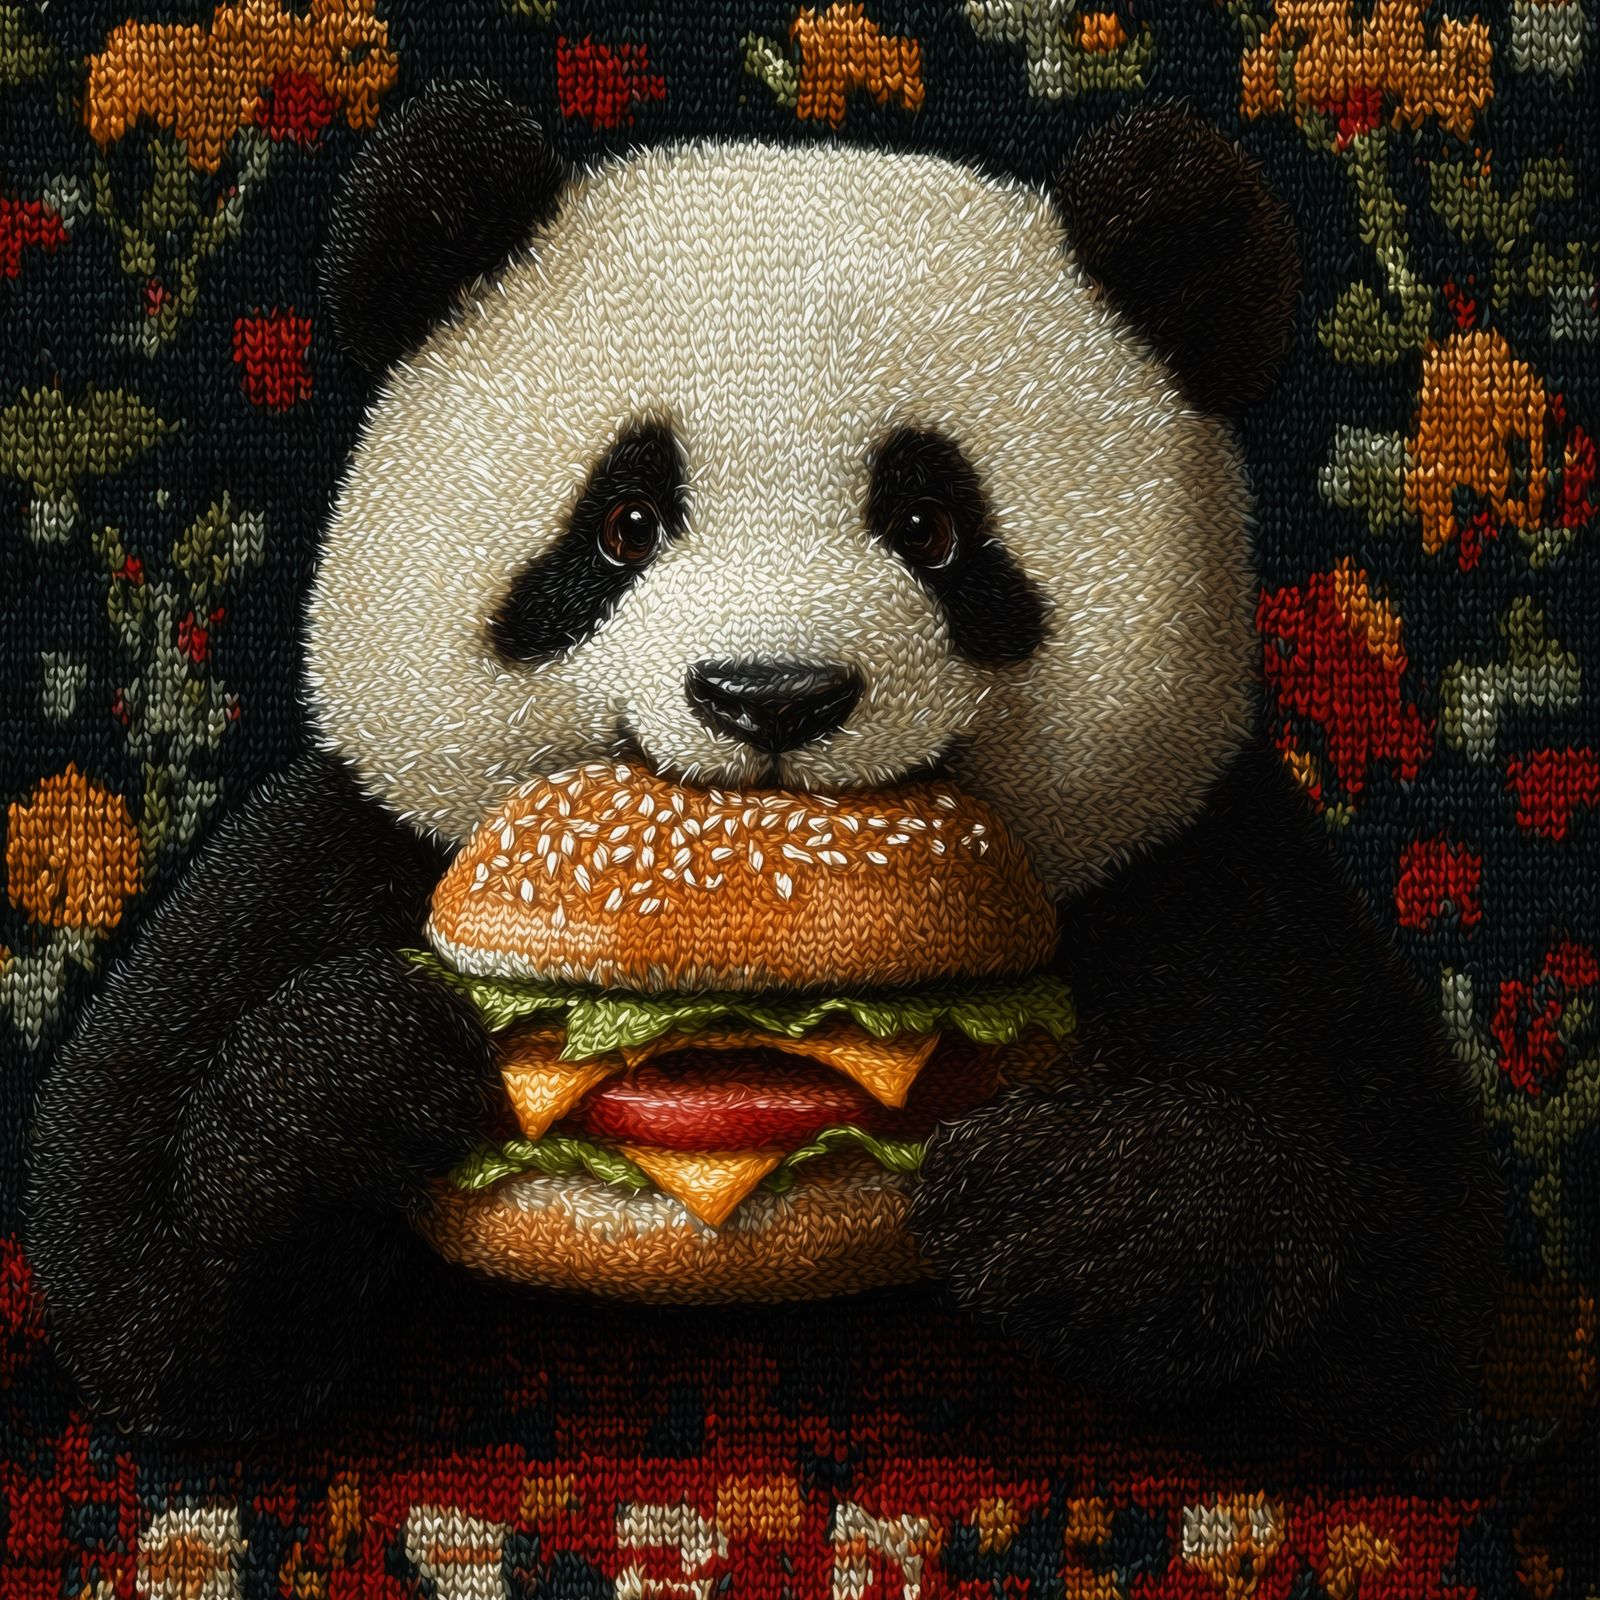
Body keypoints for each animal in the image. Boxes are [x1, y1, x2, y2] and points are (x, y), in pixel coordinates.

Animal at [24, 83, 1503, 1447]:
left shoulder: (1205, 867)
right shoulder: (343, 842)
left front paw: (1081, 1208)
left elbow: (1408, 1276)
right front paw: (354, 1078)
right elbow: (139, 1269)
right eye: (623, 522)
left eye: (933, 527)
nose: (771, 694)